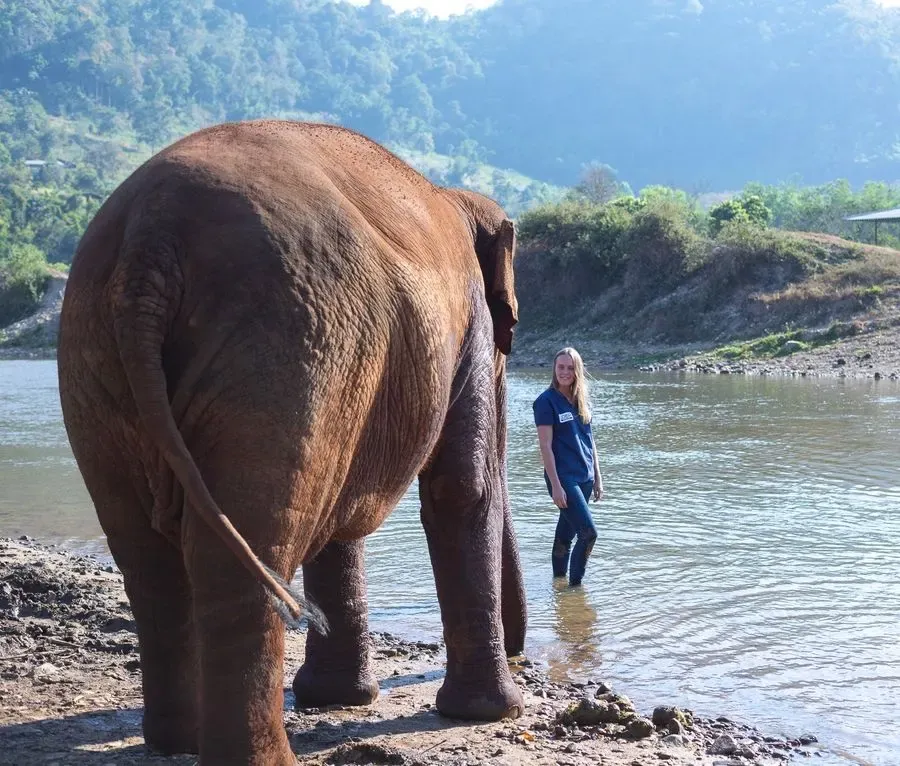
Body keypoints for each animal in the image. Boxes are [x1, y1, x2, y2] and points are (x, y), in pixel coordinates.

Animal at [57, 120, 528, 765]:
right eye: (510, 339)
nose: (524, 650)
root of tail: (149, 242)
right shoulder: (466, 326)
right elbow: (461, 488)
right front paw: (489, 713)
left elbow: (343, 511)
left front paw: (337, 699)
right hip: (285, 348)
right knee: (241, 546)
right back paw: (257, 756)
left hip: (97, 361)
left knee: (146, 553)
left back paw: (177, 741)